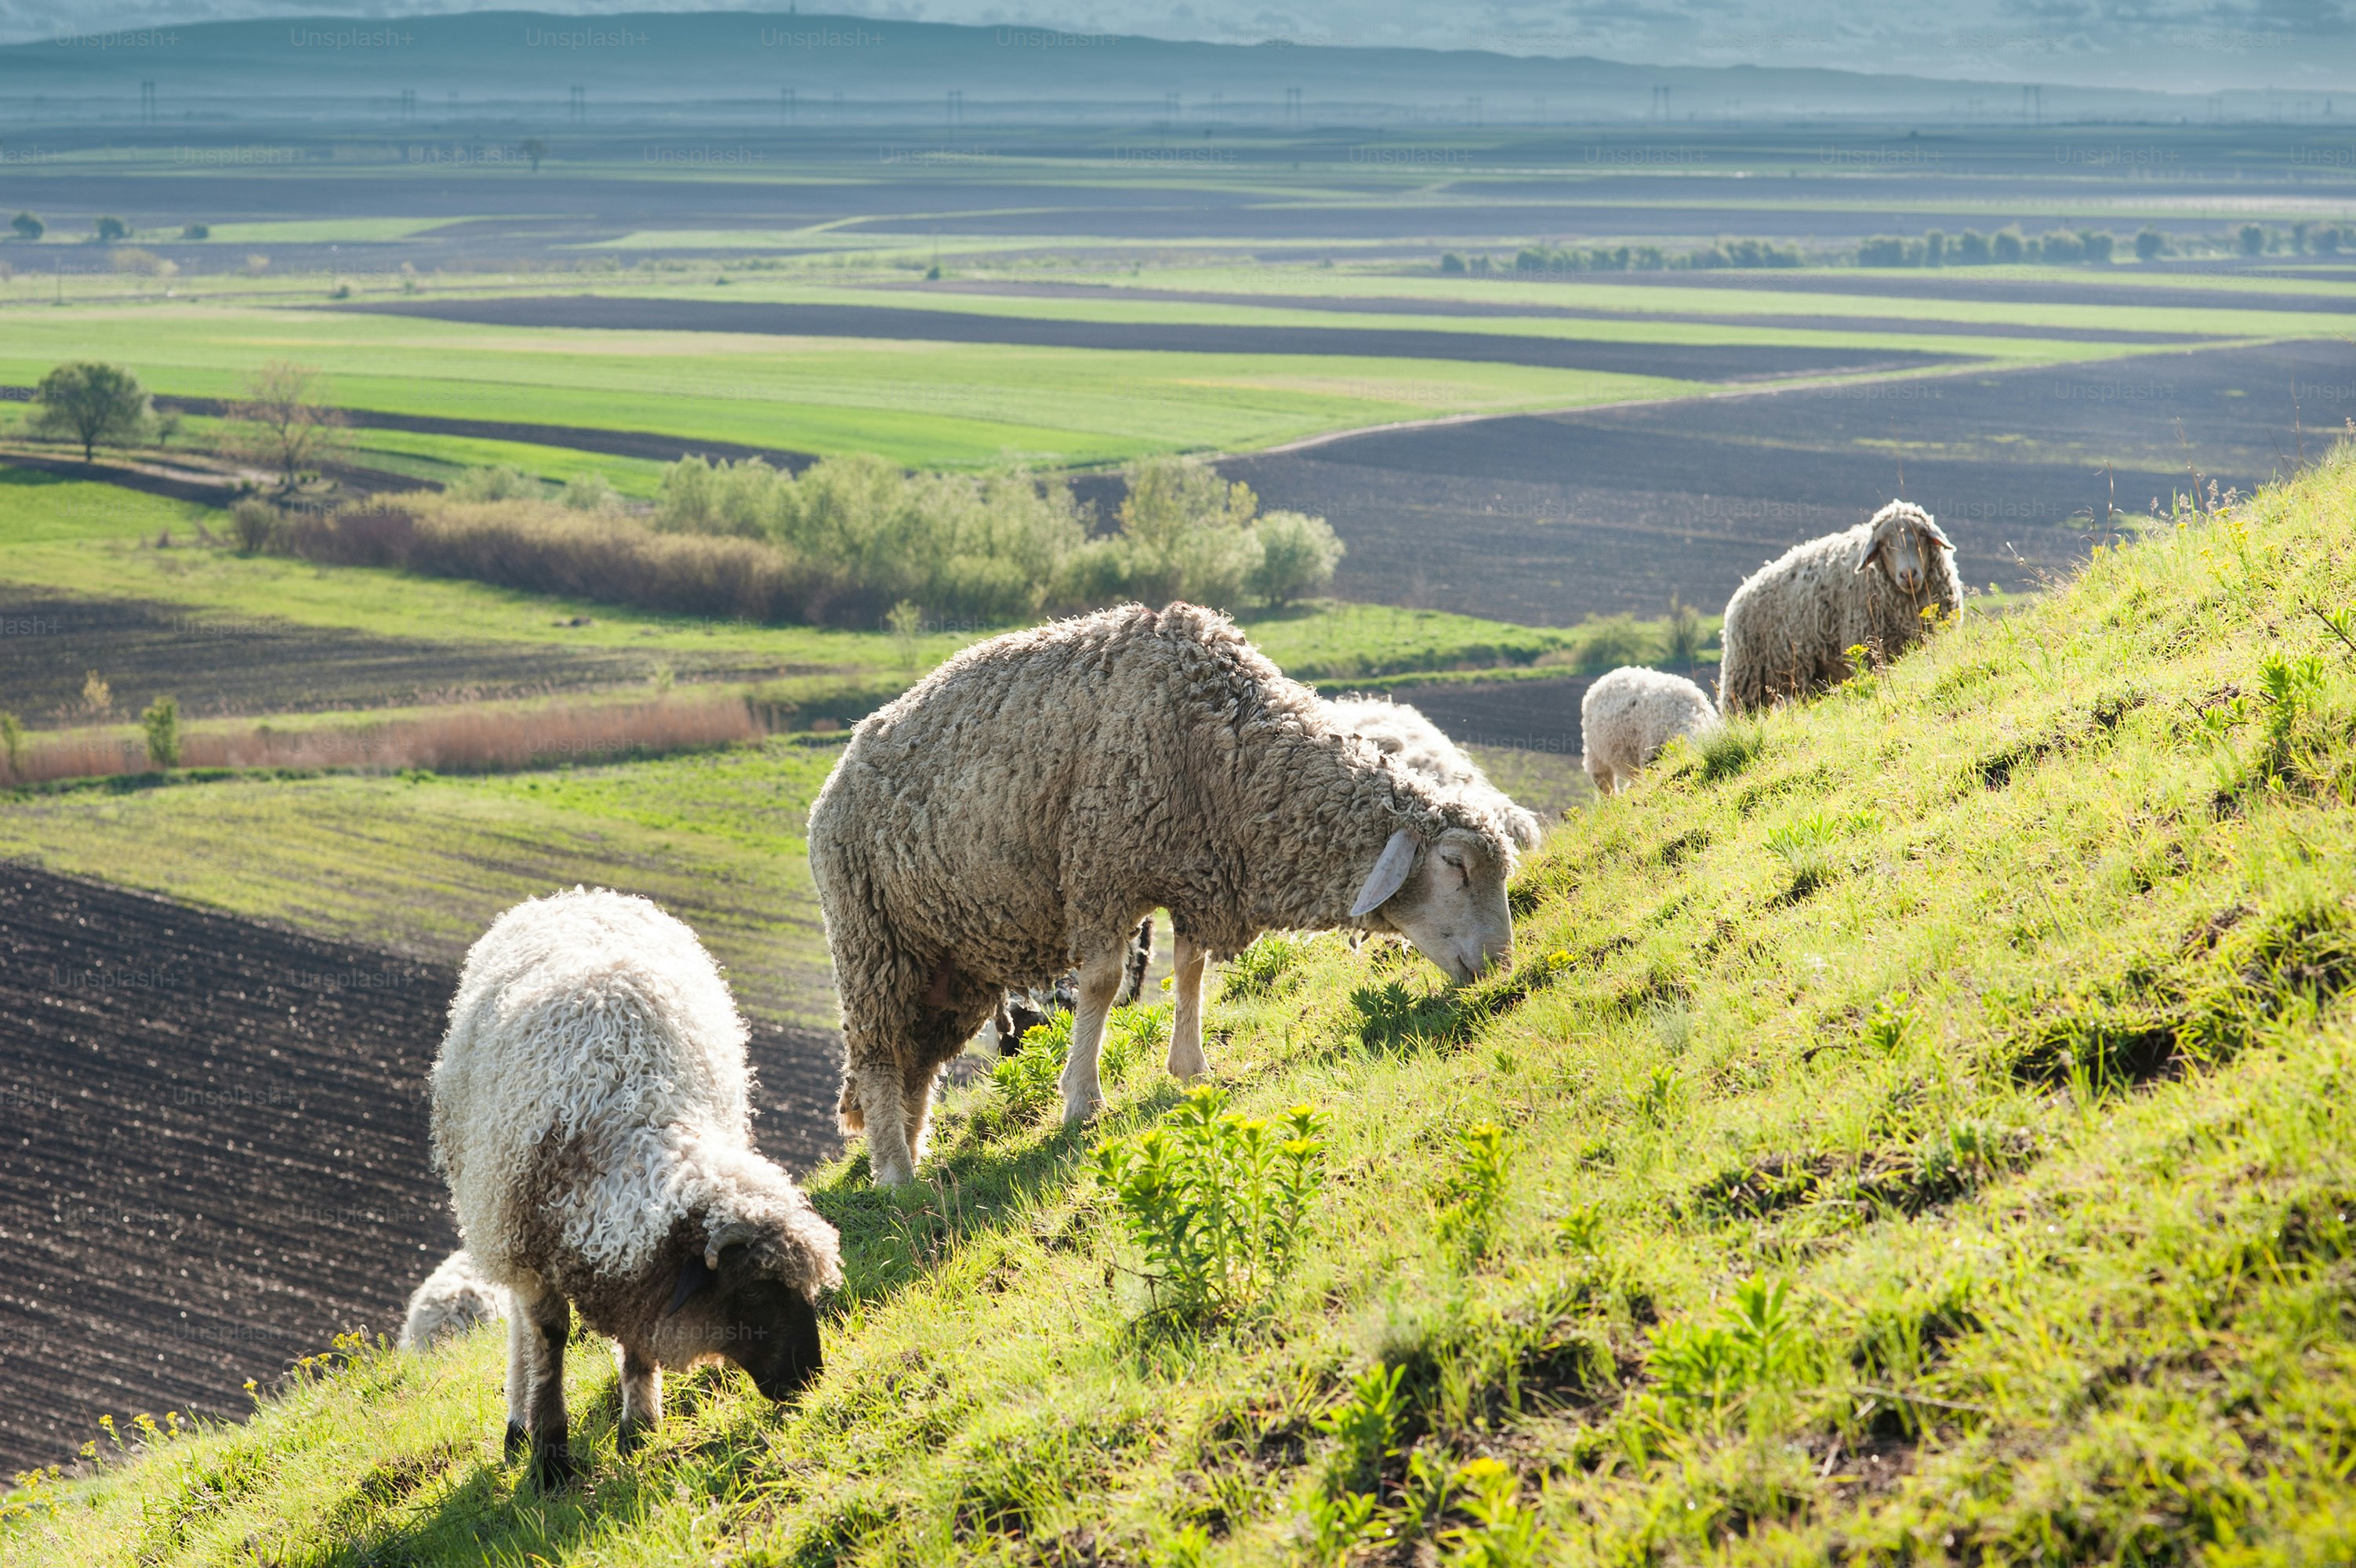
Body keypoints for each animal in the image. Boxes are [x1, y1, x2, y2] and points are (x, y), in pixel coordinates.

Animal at [430, 887, 843, 1489]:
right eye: (749, 1293)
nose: (808, 1378)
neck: (631, 1110)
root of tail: (582, 894)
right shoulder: (528, 1240)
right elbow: (549, 1340)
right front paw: (550, 1456)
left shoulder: (639, 1267)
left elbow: (637, 1339)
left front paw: (639, 1429)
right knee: (520, 1329)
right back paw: (517, 1425)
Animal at [807, 601, 1518, 1187]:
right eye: (1454, 864)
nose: (1499, 964)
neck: (1222, 753)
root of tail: (837, 773)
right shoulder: (1100, 868)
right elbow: (1100, 985)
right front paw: (1082, 1101)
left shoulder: (1194, 874)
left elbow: (1190, 970)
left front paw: (1190, 1068)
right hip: (870, 939)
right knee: (877, 1055)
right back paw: (895, 1177)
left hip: (947, 960)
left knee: (916, 1061)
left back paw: (907, 1150)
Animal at [1718, 500, 1961, 714]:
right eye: (1884, 545)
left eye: (1921, 535)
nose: (1908, 574)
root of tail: (1742, 590)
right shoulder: (1868, 653)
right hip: (1744, 679)